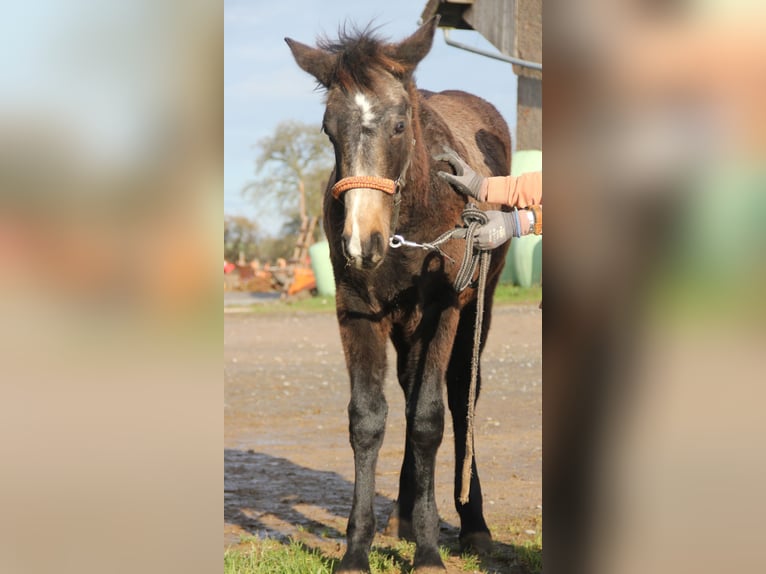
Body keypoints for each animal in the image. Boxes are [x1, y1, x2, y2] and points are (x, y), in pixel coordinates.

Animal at [284, 18, 512, 574]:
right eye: (328, 129)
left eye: (400, 125)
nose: (360, 242)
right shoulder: (358, 313)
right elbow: (368, 419)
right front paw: (357, 550)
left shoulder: (441, 311)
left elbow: (429, 419)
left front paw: (429, 552)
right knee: (409, 392)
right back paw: (403, 517)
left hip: (479, 306)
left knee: (461, 395)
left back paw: (473, 524)